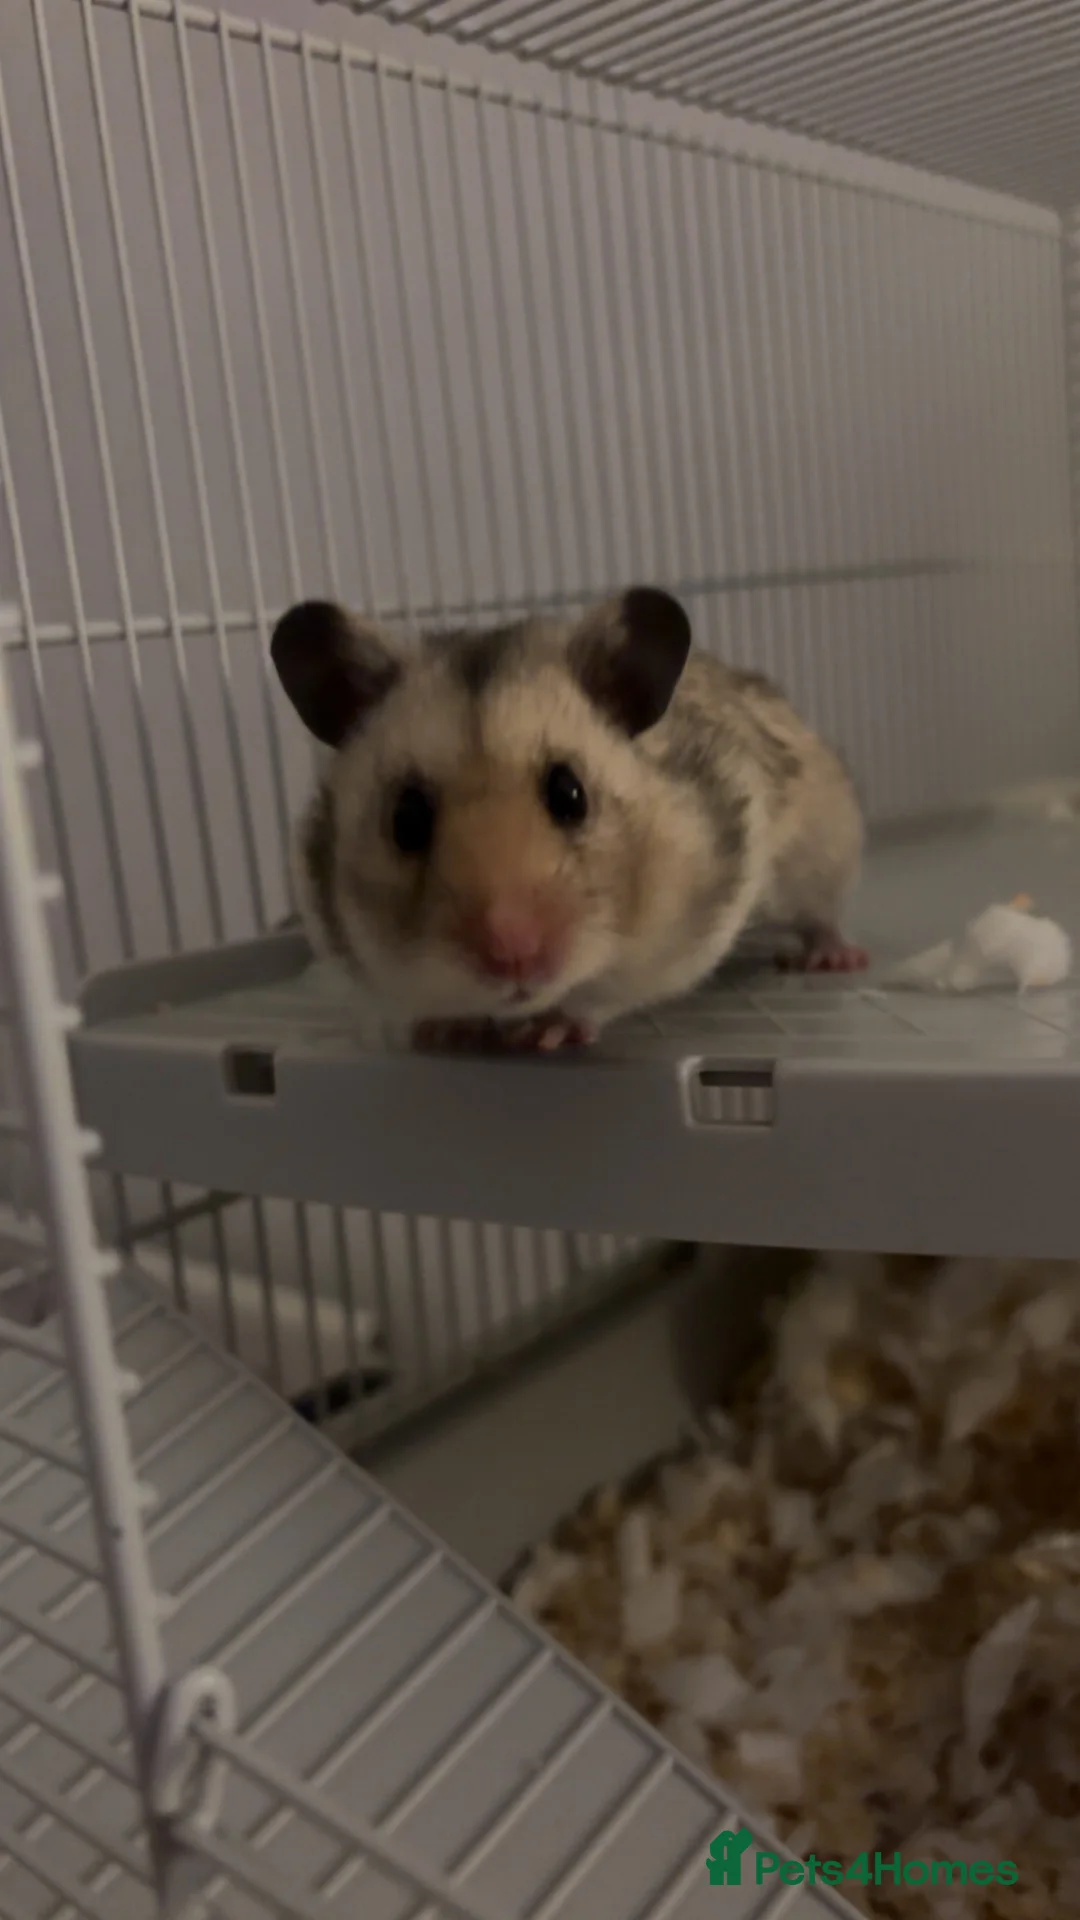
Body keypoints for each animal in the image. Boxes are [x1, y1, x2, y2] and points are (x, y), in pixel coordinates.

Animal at [271, 586, 866, 1053]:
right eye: (406, 819)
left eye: (569, 794)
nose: (512, 957)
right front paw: (448, 1031)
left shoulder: (679, 936)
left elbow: (602, 991)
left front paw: (547, 1031)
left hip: (821, 847)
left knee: (819, 913)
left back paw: (835, 957)